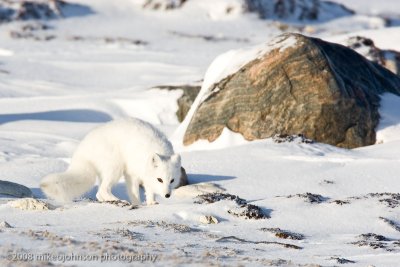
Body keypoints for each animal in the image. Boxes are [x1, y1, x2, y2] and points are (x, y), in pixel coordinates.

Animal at [41, 118, 182, 206]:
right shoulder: (131, 173)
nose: (167, 195)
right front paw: (137, 203)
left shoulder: (145, 177)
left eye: (172, 180)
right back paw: (120, 201)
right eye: (160, 179)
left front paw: (151, 202)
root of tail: (83, 148)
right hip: (115, 167)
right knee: (102, 190)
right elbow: (135, 192)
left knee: (99, 193)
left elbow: (150, 190)